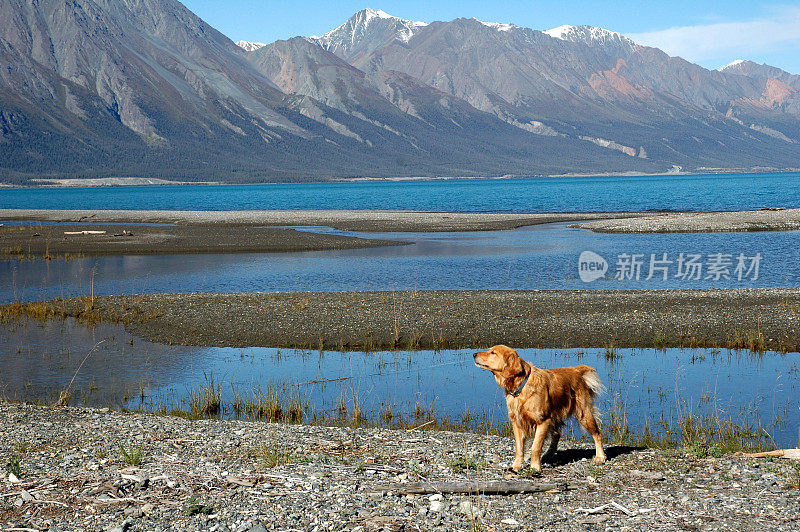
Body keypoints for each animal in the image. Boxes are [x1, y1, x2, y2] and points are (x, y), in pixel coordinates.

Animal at [476, 344, 608, 474]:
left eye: (493, 353)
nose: (474, 354)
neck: (522, 386)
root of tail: (577, 371)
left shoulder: (543, 421)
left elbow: (535, 447)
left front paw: (535, 467)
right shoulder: (517, 422)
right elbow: (519, 448)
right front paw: (516, 467)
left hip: (583, 414)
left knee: (597, 433)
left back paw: (600, 457)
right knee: (556, 435)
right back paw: (548, 454)